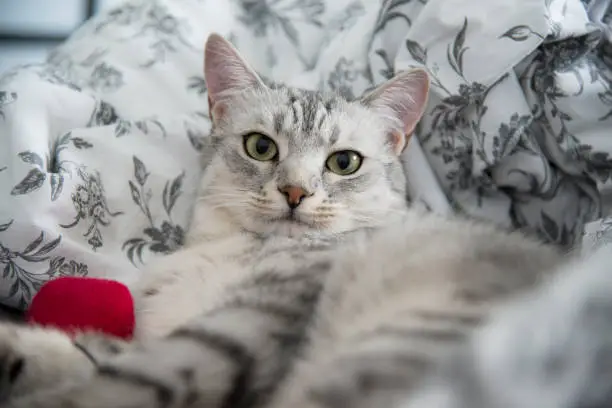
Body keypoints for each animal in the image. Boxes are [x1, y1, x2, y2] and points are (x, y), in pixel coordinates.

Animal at [1, 34, 612, 408]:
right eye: (260, 147)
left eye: (344, 162)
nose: (295, 191)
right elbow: (90, 353)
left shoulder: (234, 337)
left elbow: (117, 377)